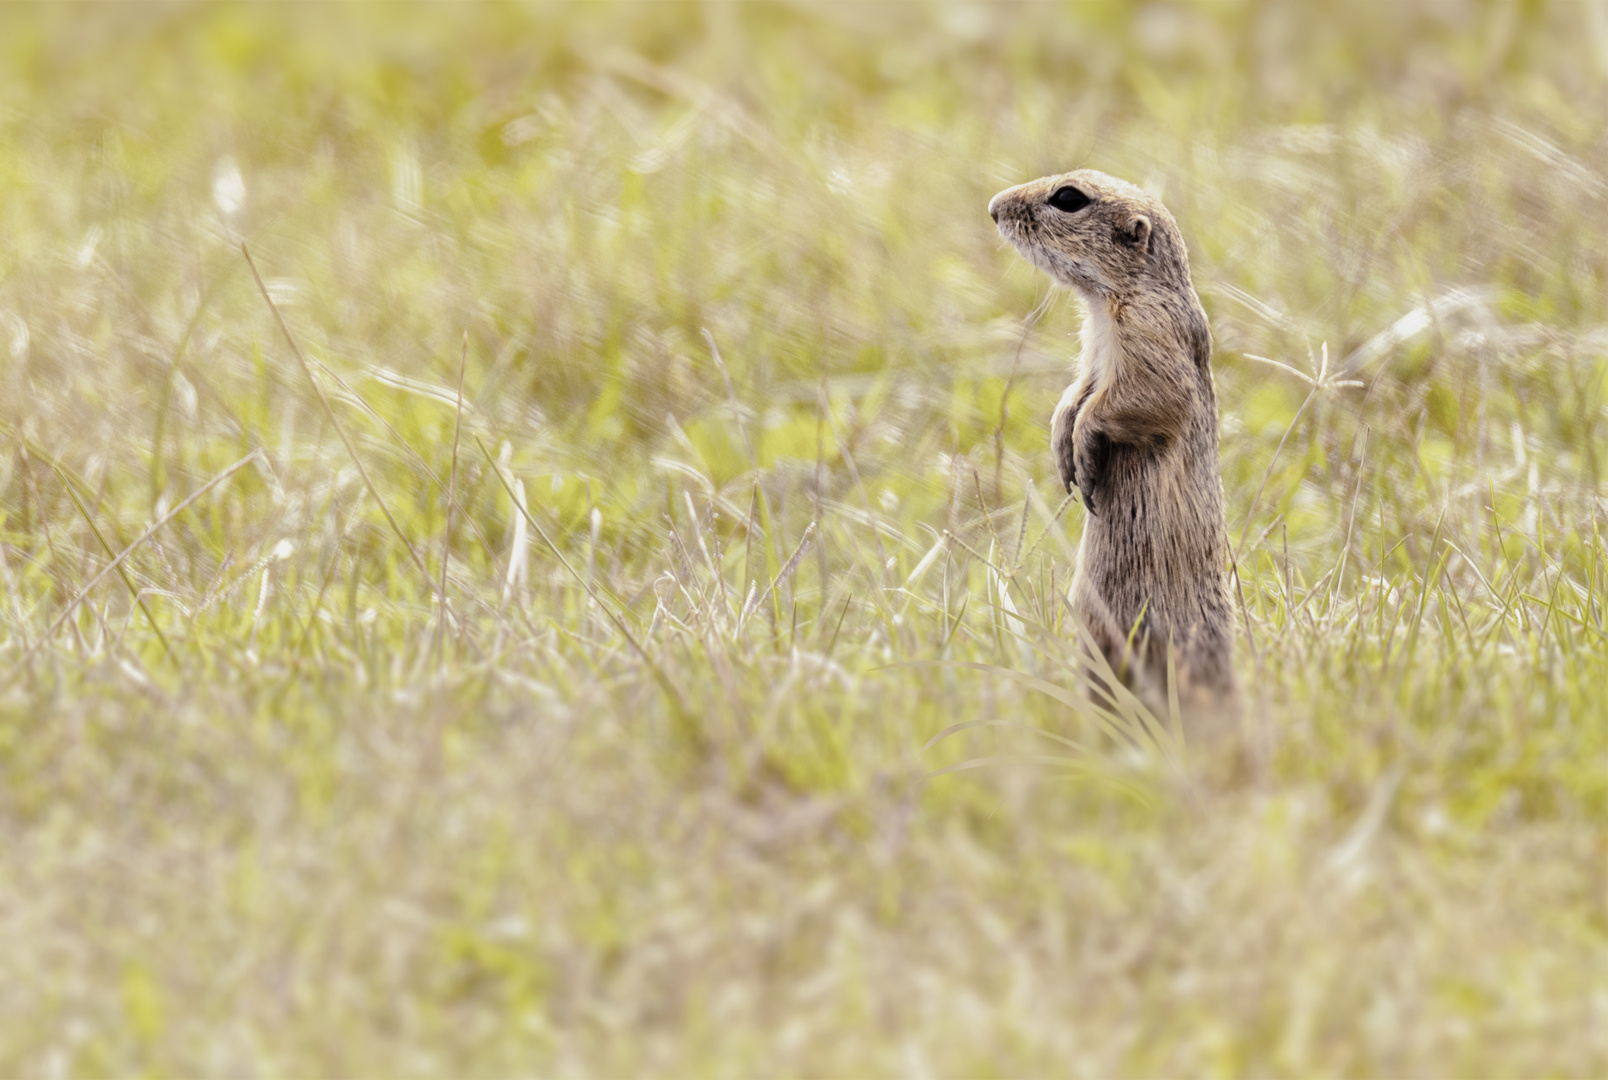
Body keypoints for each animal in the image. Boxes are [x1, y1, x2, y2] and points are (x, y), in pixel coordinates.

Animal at [984, 166, 1234, 726]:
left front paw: (1081, 450)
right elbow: (1075, 393)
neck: (1102, 302)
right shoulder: (1092, 356)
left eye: (1068, 198)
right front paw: (1062, 441)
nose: (993, 207)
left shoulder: (1148, 330)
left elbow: (1143, 397)